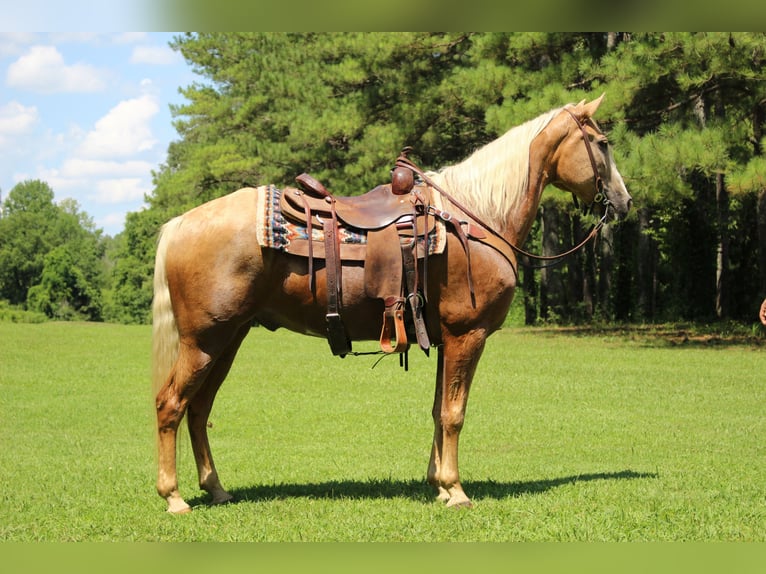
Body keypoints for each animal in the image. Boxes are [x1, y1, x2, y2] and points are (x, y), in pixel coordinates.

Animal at [152, 95, 632, 514]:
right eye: (603, 143)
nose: (625, 202)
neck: (475, 217)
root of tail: (180, 223)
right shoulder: (468, 335)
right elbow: (455, 413)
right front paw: (456, 491)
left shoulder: (445, 338)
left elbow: (439, 410)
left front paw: (439, 485)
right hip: (204, 341)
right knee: (170, 404)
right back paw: (174, 497)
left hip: (228, 339)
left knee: (198, 409)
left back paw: (216, 489)